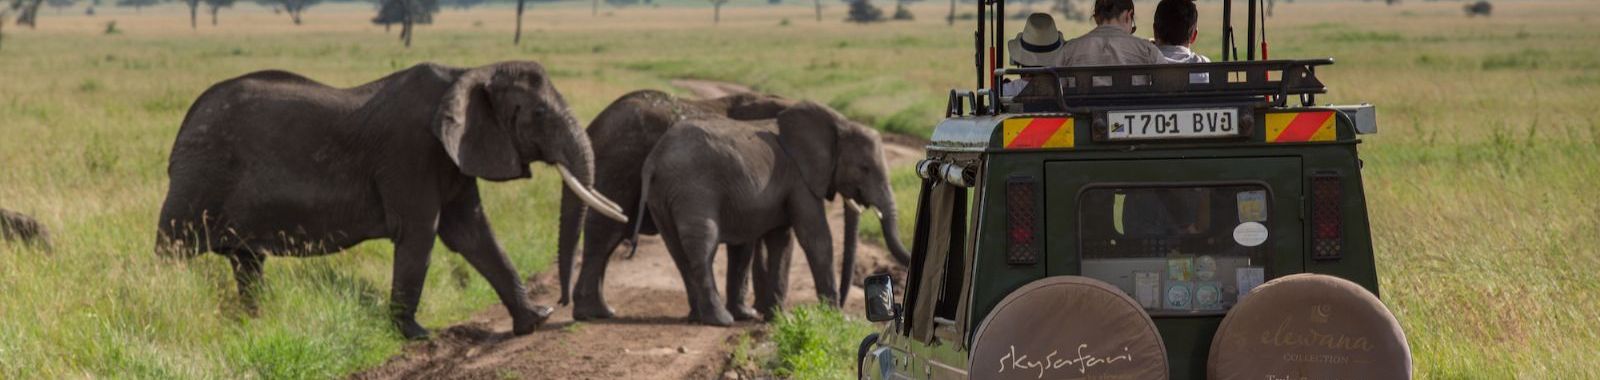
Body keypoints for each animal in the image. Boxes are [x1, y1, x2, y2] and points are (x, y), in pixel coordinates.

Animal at [151, 60, 624, 340]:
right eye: (539, 114)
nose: (561, 305)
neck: (469, 72)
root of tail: (184, 125)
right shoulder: (411, 153)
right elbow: (421, 235)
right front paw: (416, 335)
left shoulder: (454, 155)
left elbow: (474, 234)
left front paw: (534, 321)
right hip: (199, 178)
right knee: (175, 251)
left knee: (247, 260)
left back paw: (256, 324)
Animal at [560, 89, 812, 320]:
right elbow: (748, 243)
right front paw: (748, 315)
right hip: (621, 162)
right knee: (606, 231)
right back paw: (594, 313)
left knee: (608, 234)